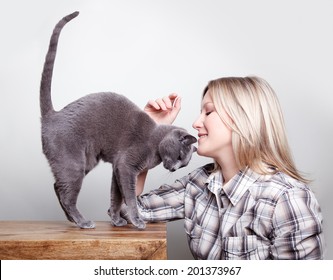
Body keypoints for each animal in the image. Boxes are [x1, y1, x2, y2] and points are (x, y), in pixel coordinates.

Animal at [40, 11, 196, 230]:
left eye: (183, 166)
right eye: (181, 156)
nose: (174, 168)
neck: (155, 144)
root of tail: (52, 115)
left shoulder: (117, 169)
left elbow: (116, 197)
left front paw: (116, 219)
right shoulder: (126, 166)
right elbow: (129, 197)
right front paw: (137, 221)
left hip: (85, 162)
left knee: (57, 186)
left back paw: (72, 219)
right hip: (74, 163)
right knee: (66, 195)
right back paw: (82, 221)